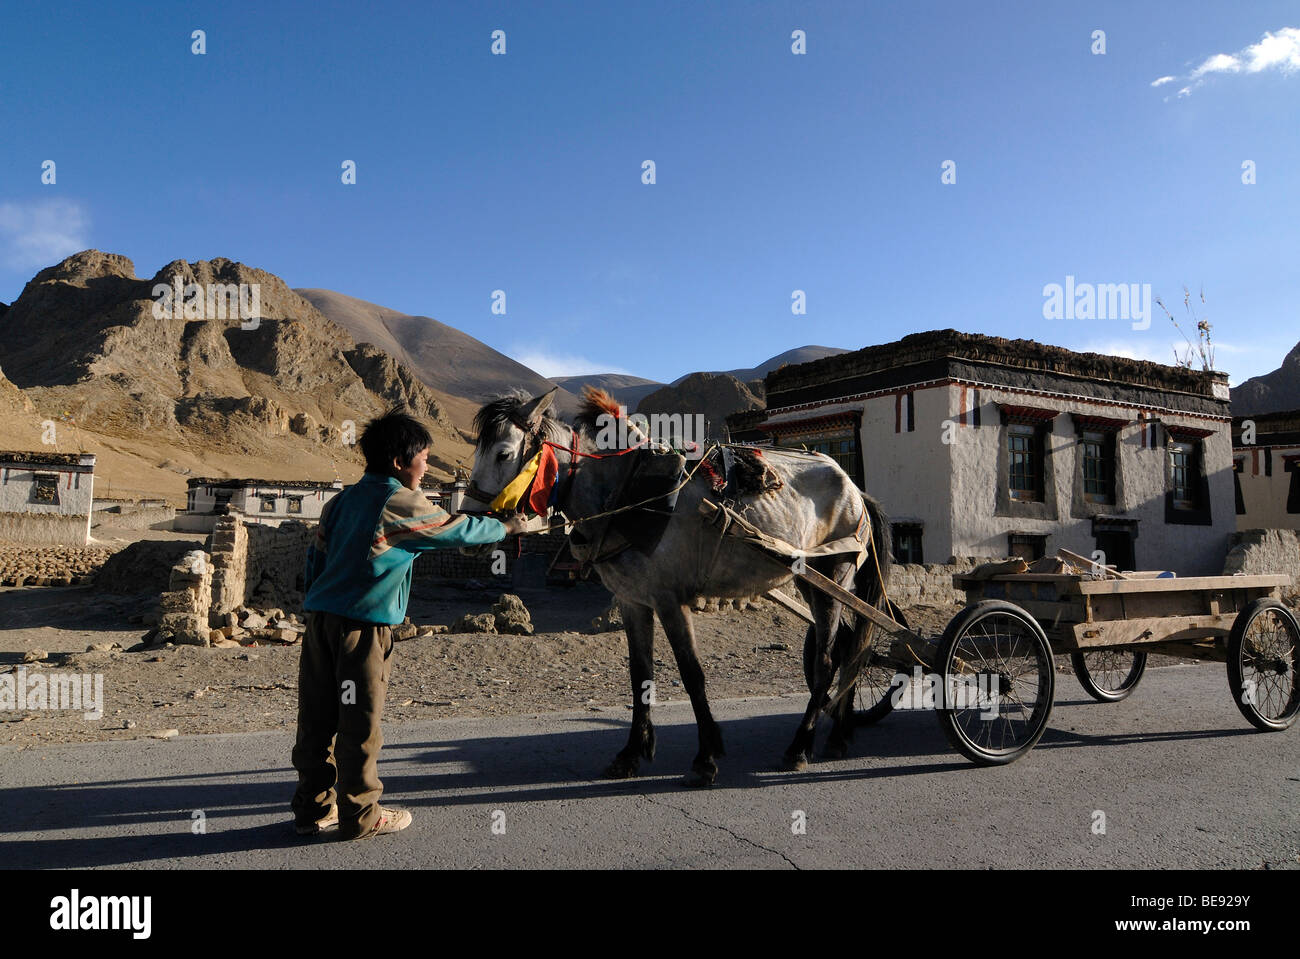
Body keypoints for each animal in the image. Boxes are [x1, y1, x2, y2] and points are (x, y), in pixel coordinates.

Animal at [467, 384, 894, 779]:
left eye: (503, 453)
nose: (474, 522)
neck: (626, 495)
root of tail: (855, 489)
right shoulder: (633, 602)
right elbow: (640, 675)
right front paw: (630, 754)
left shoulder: (671, 601)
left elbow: (692, 674)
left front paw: (706, 757)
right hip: (814, 581)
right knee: (852, 648)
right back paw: (838, 735)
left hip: (835, 574)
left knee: (828, 659)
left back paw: (800, 746)